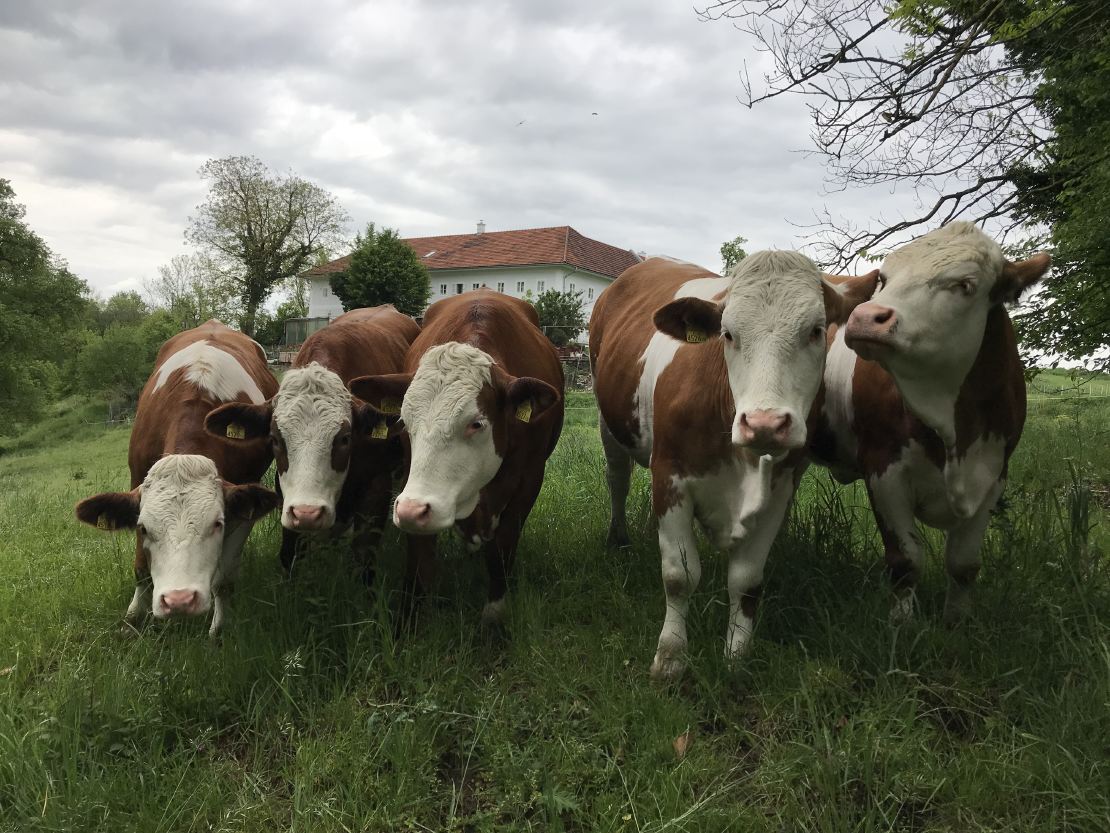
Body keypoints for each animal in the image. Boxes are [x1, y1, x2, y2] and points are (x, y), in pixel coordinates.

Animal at [74, 320, 281, 638]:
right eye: (144, 528)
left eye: (217, 524)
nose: (179, 600)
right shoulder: (136, 485)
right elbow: (141, 570)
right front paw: (132, 619)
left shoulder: (244, 504)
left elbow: (223, 581)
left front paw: (217, 632)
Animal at [203, 305, 422, 583]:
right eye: (275, 439)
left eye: (345, 438)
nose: (307, 512)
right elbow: (290, 555)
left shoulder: (377, 489)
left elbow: (363, 560)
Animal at [349, 289, 564, 625]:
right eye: (404, 422)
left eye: (476, 423)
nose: (411, 510)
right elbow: (420, 562)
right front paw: (408, 622)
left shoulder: (530, 477)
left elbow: (502, 550)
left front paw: (494, 616)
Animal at [590, 253, 878, 680]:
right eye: (727, 333)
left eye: (816, 330)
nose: (764, 423)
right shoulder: (669, 476)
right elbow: (678, 576)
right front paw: (671, 657)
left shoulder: (779, 489)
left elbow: (746, 581)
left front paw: (736, 656)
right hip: (608, 421)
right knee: (618, 480)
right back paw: (618, 537)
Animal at [811, 221, 1051, 623]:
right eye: (884, 278)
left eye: (965, 285)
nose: (865, 317)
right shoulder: (883, 468)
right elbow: (906, 559)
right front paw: (902, 621)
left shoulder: (994, 474)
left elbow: (964, 563)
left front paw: (957, 619)